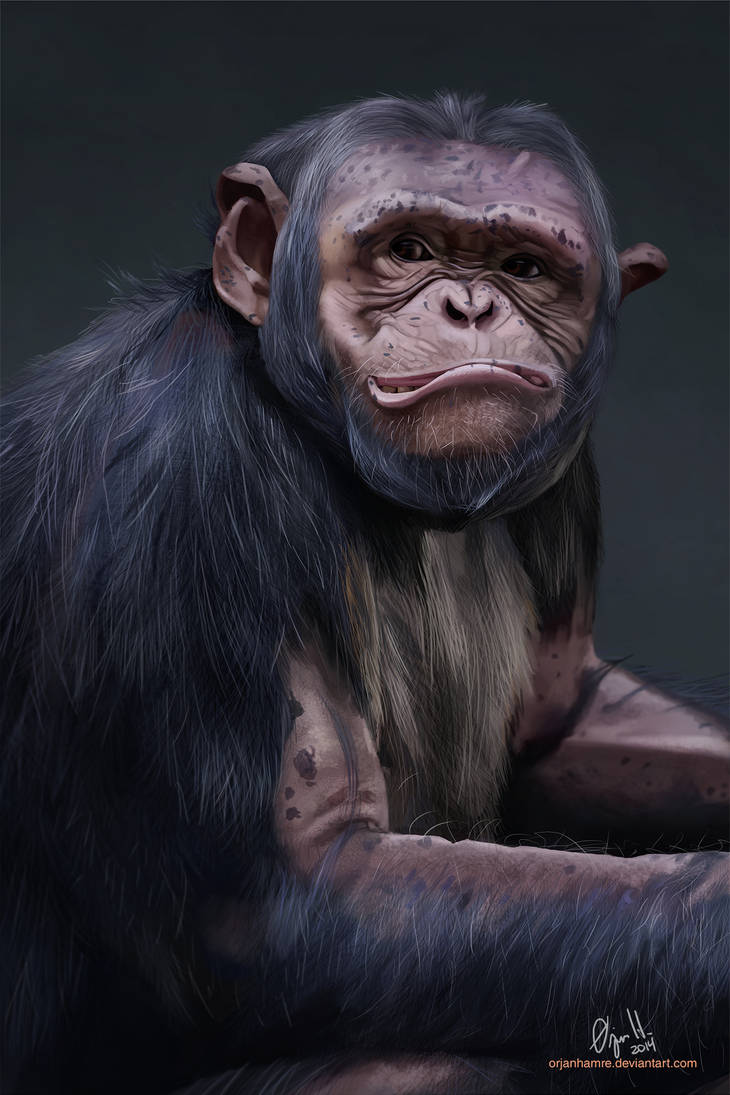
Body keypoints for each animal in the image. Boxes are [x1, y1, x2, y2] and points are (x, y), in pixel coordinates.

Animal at [1, 93, 727, 1095]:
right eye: (408, 249)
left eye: (526, 268)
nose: (471, 304)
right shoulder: (181, 478)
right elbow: (307, 888)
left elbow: (564, 713)